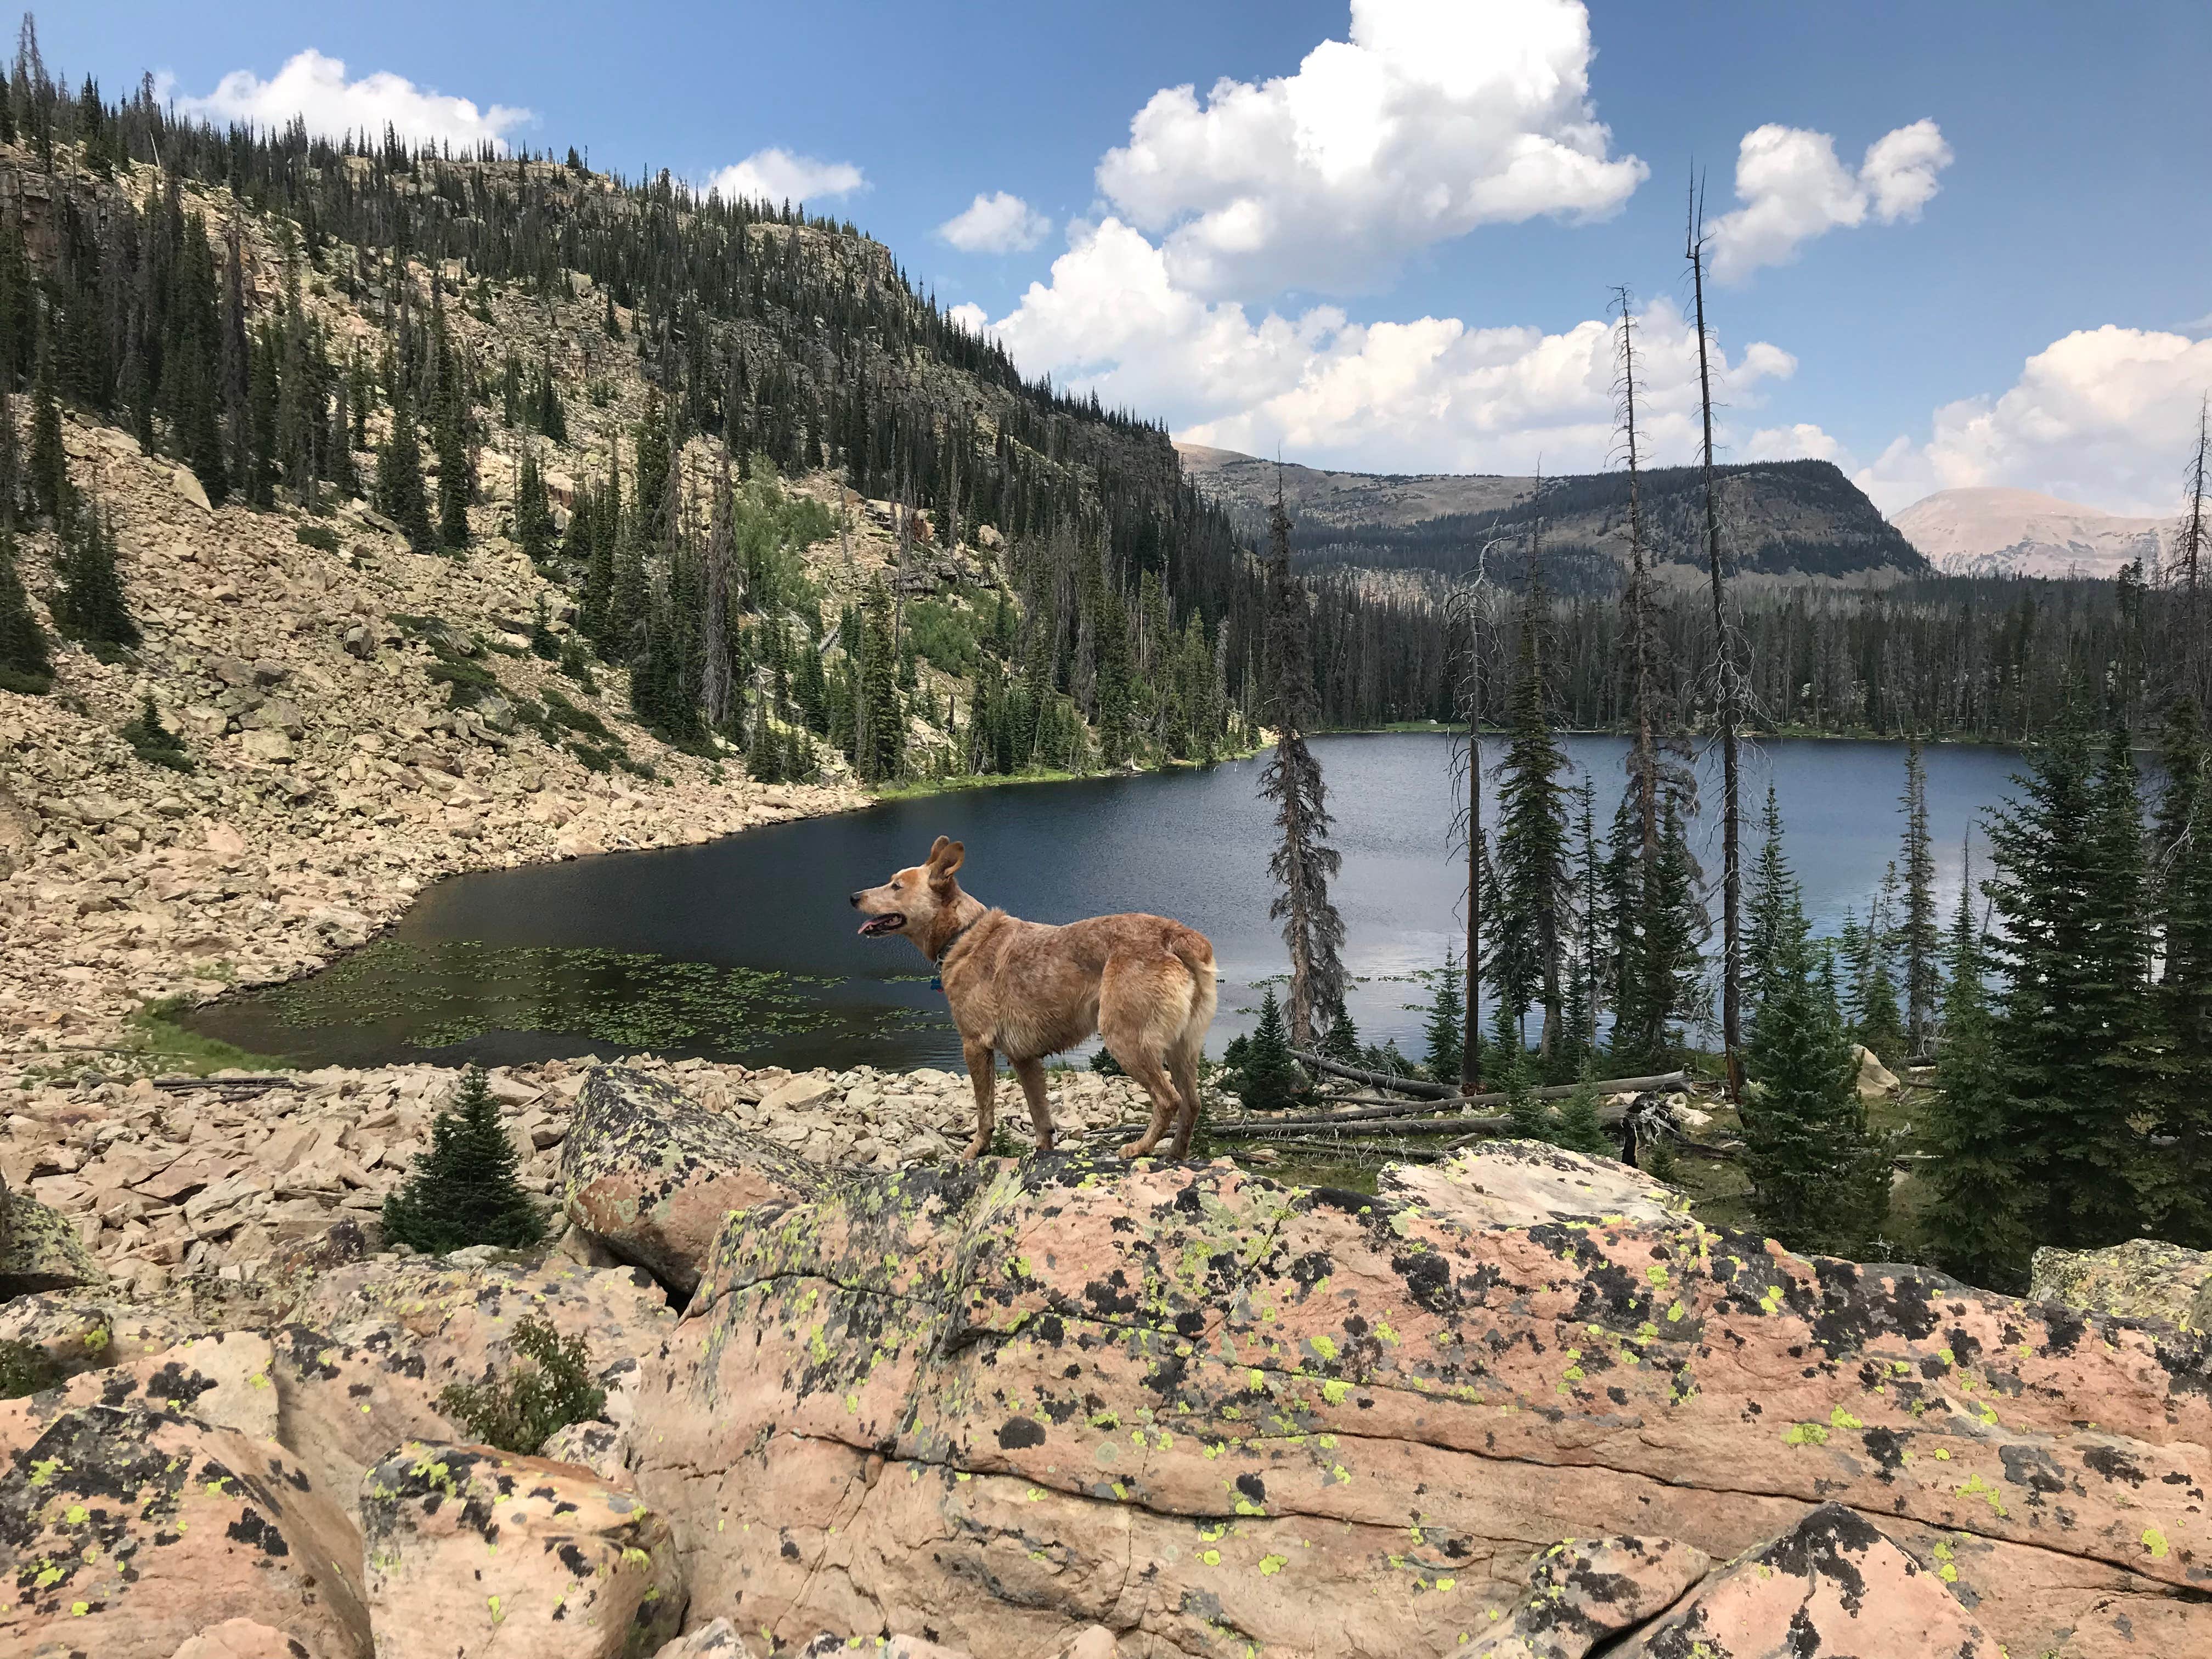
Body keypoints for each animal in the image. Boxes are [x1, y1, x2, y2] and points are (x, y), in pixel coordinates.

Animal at [849, 836, 1229, 1159]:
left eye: (897, 886)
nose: (853, 897)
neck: (963, 935)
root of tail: (1177, 937)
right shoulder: (1025, 1058)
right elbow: (1040, 1116)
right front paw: (1043, 1152)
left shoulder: (975, 1045)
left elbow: (985, 1111)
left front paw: (976, 1150)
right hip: (1183, 1046)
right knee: (1192, 1103)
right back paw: (1175, 1154)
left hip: (1126, 1040)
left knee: (1168, 1100)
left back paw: (1139, 1148)